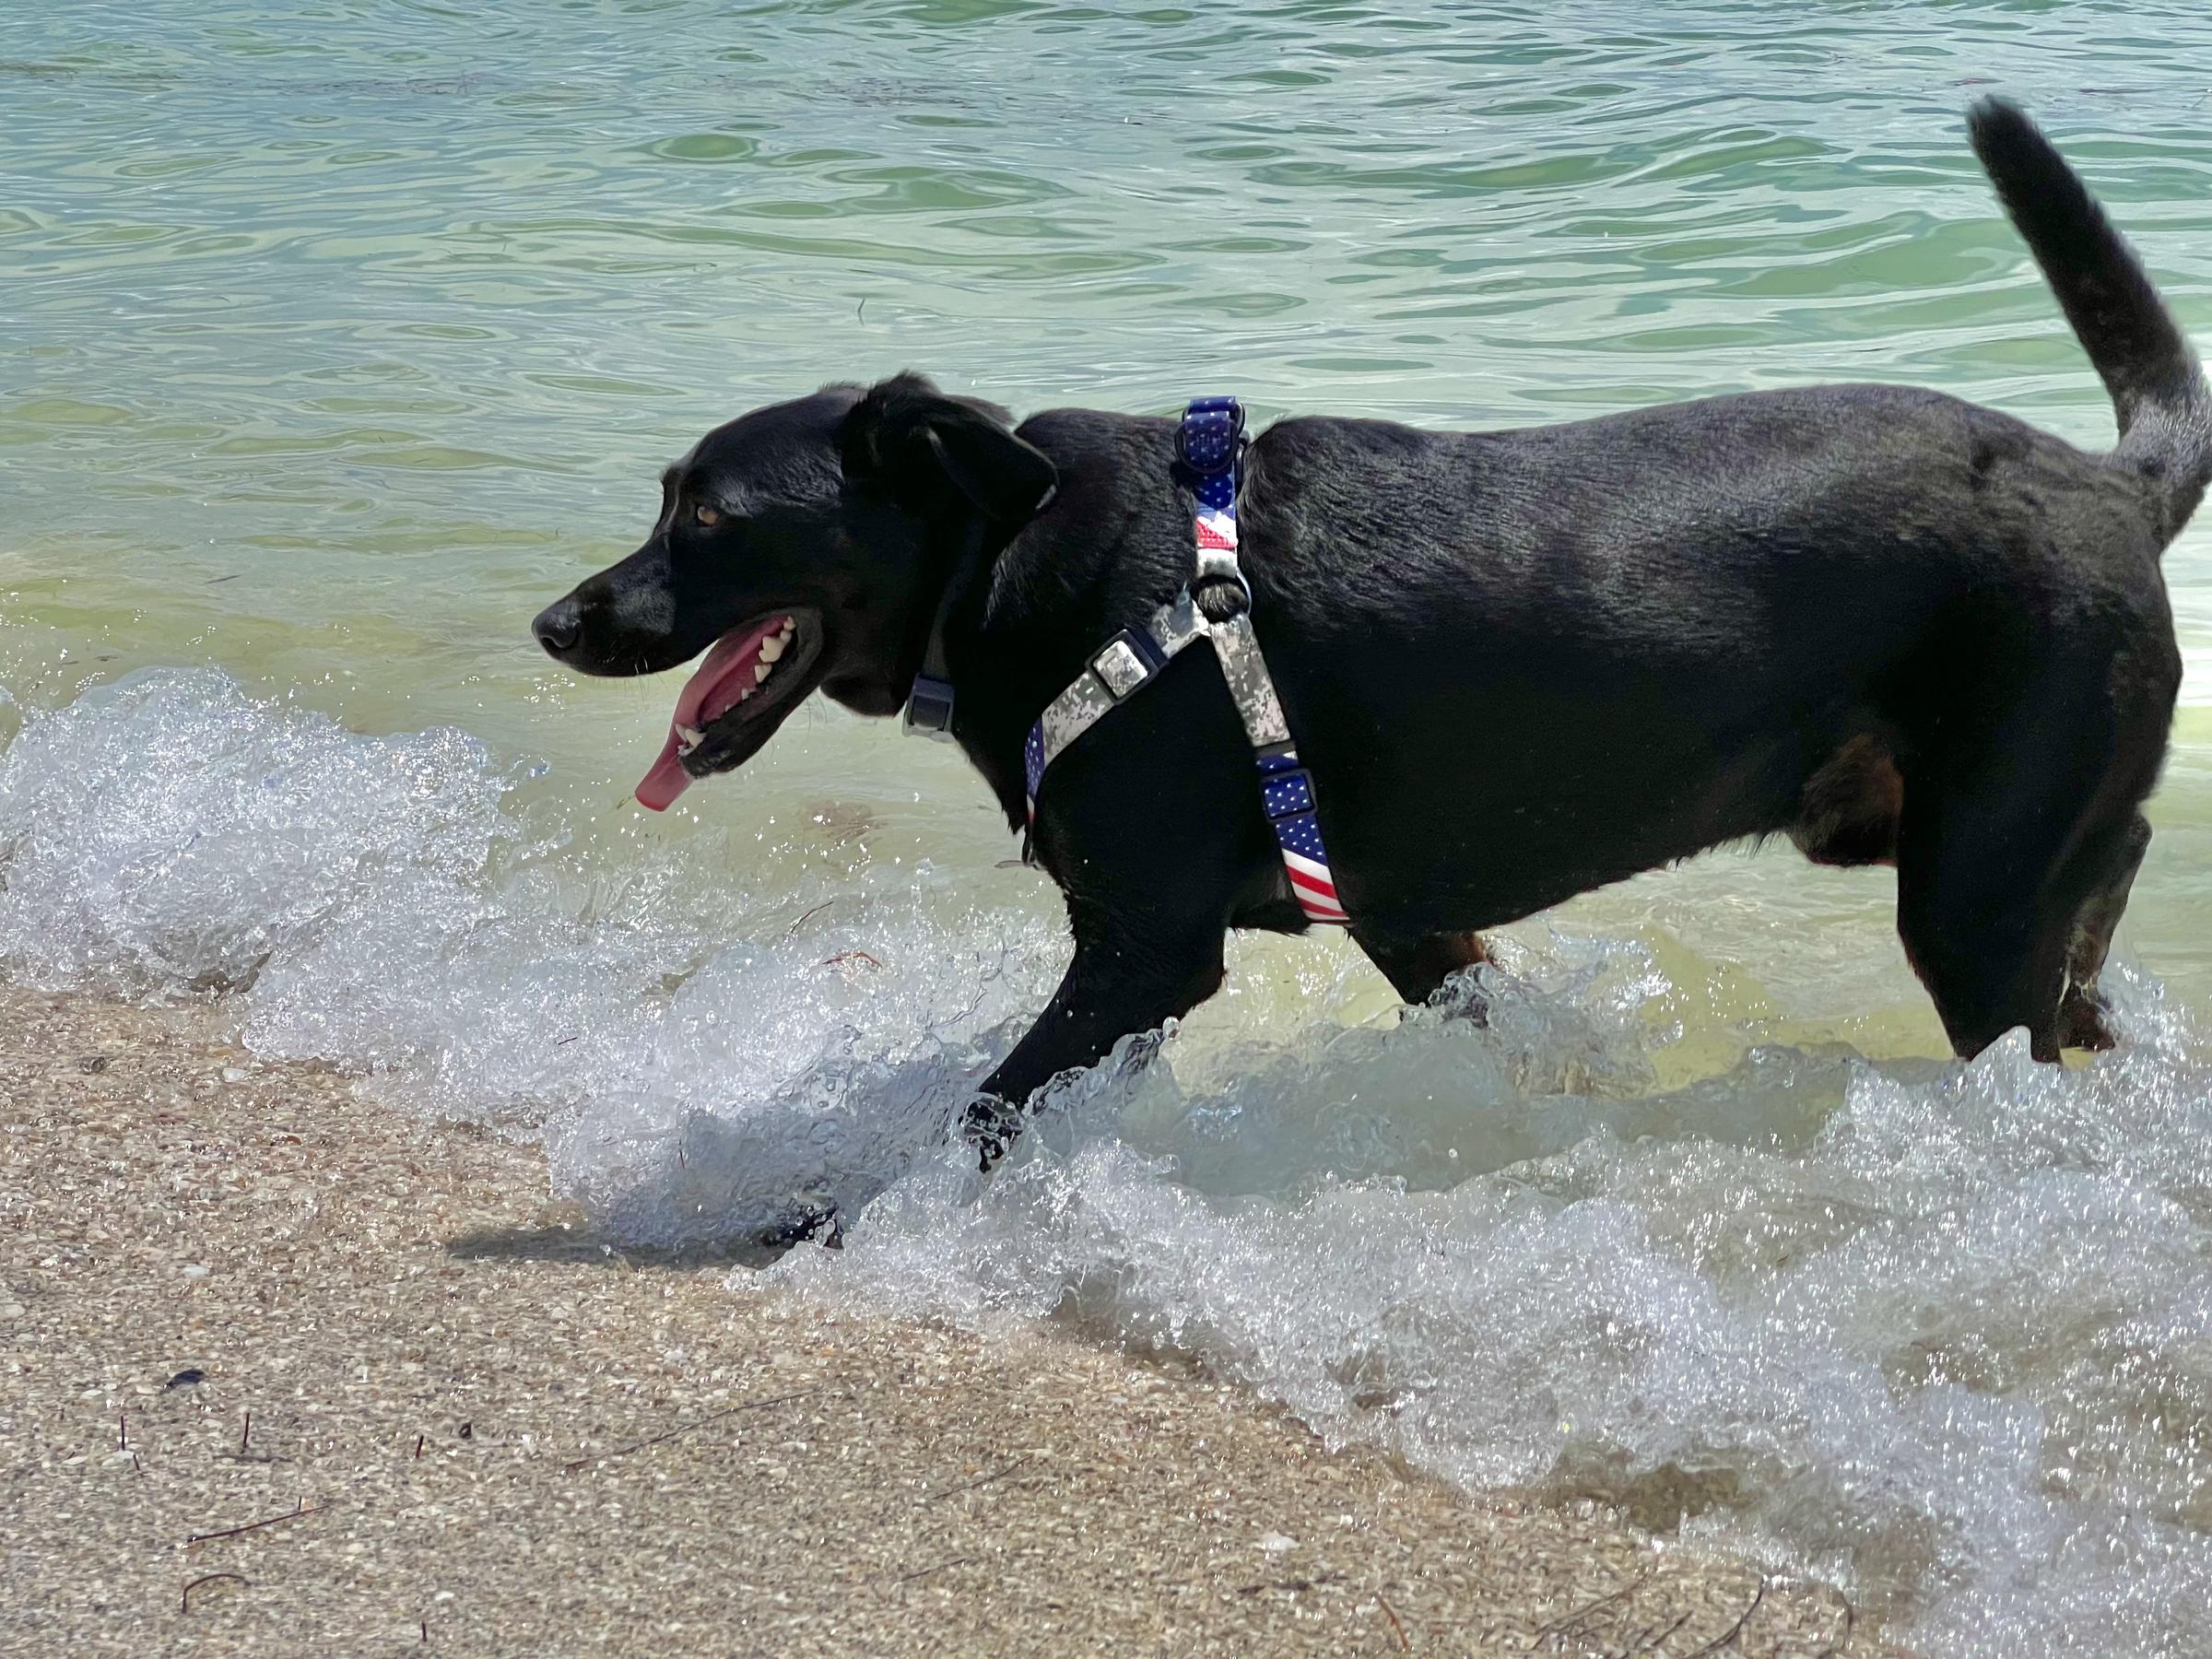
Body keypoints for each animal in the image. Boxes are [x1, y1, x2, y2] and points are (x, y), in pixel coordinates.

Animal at [539, 103, 2212, 1168]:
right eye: (665, 501)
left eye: (705, 516)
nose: (560, 620)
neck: (1012, 560)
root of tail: (2108, 483)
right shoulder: (1409, 921)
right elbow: (1501, 1019)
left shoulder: (1142, 954)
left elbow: (986, 1109)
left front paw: (825, 1218)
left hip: (1974, 888)